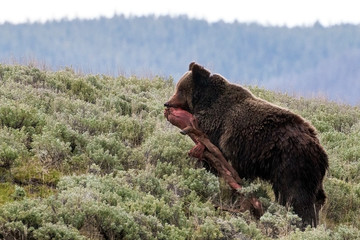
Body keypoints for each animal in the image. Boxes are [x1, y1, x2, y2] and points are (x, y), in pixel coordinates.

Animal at [166, 62, 330, 227]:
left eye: (180, 90)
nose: (167, 103)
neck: (206, 102)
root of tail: (320, 151)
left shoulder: (216, 130)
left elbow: (211, 159)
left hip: (290, 164)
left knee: (296, 195)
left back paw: (301, 221)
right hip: (309, 173)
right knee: (317, 196)